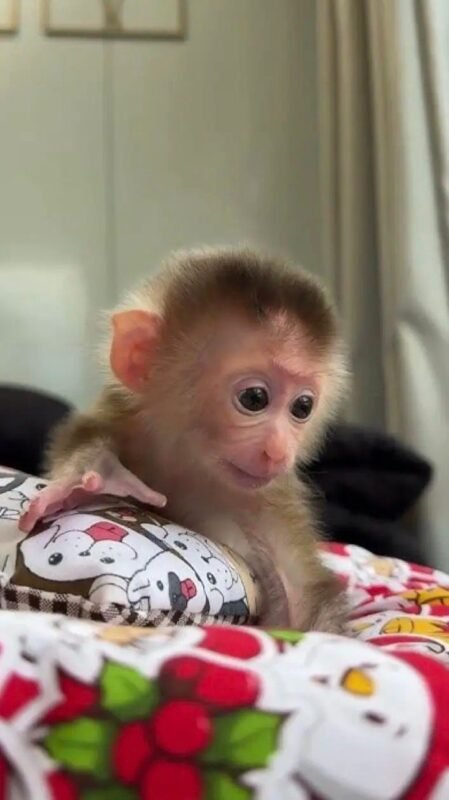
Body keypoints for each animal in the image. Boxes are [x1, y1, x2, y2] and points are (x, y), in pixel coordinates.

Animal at [19, 247, 349, 632]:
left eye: (303, 407)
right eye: (254, 398)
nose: (279, 452)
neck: (188, 466)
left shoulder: (272, 506)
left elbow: (303, 600)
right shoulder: (124, 416)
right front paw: (94, 475)